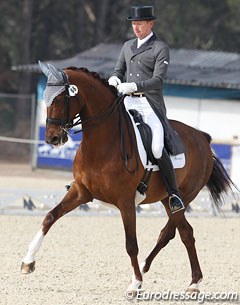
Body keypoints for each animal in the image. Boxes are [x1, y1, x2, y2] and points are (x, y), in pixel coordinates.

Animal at [21, 63, 234, 294]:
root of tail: (202, 137)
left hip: (183, 197)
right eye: (46, 97)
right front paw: (28, 261)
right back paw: (190, 280)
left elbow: (131, 244)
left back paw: (165, 275)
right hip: (166, 198)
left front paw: (136, 283)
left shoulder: (126, 202)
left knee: (170, 232)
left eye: (60, 99)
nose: (52, 138)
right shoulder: (81, 191)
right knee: (185, 233)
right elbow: (50, 217)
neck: (102, 144)